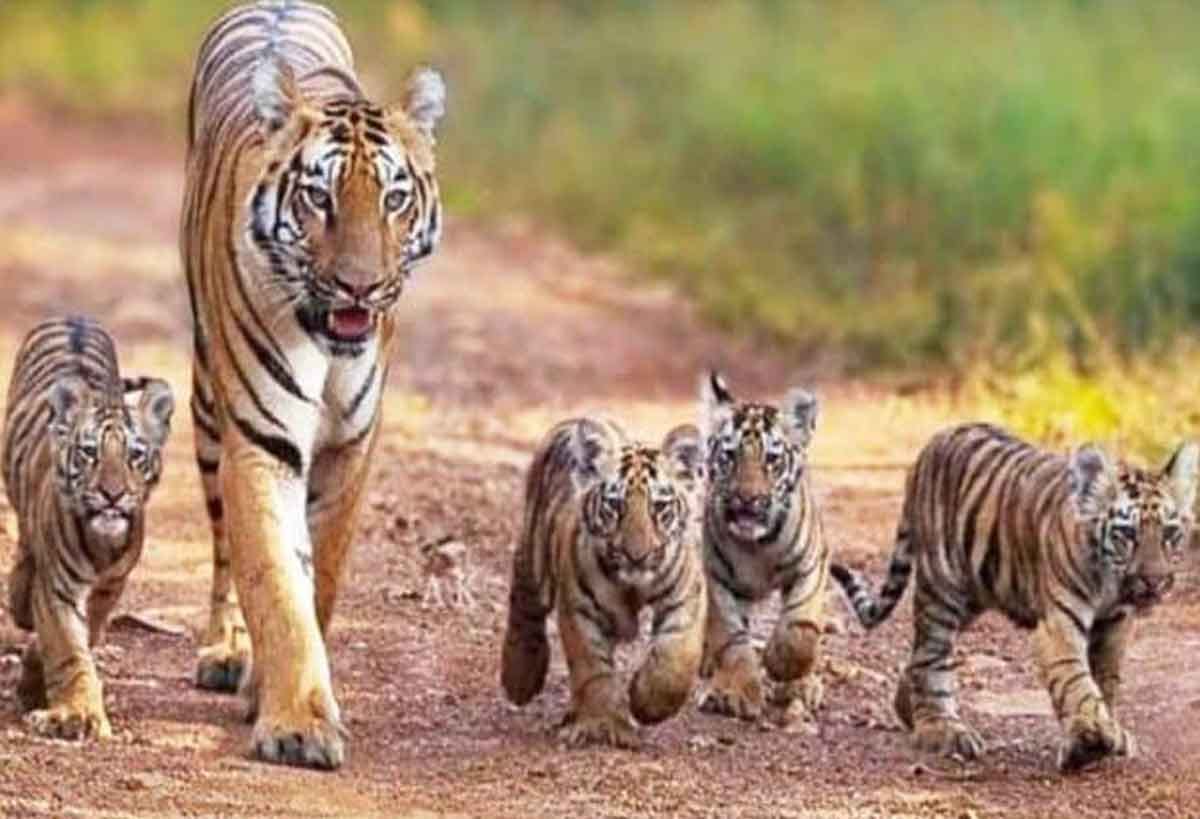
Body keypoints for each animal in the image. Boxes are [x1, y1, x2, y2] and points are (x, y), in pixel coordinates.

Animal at [3, 316, 174, 740]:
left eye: (135, 455)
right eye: (89, 452)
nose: (112, 495)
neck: (102, 544)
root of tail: (74, 316)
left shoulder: (111, 586)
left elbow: (82, 635)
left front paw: (36, 686)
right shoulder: (58, 586)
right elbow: (66, 646)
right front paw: (75, 716)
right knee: (24, 552)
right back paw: (19, 595)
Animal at [181, 0, 445, 768]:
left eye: (393, 198)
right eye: (319, 197)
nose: (359, 284)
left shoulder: (350, 449)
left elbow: (318, 576)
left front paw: (277, 694)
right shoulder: (258, 443)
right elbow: (273, 578)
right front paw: (296, 723)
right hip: (207, 408)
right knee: (223, 550)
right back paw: (224, 650)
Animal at [501, 418, 708, 749]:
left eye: (660, 507)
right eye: (615, 505)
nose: (637, 555)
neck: (632, 585)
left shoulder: (685, 595)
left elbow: (677, 659)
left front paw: (647, 704)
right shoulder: (580, 607)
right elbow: (592, 667)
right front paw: (603, 724)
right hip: (534, 553)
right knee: (524, 601)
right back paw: (520, 677)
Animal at [697, 372, 829, 724]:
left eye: (771, 459)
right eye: (730, 456)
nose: (747, 498)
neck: (756, 546)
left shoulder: (811, 567)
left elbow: (800, 631)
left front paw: (778, 662)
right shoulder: (718, 579)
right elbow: (732, 639)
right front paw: (738, 693)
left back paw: (802, 686)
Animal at [831, 422, 1199, 772]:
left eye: (1170, 533)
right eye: (1127, 533)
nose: (1154, 581)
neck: (1110, 584)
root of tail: (931, 444)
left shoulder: (1115, 624)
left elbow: (1105, 679)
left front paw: (1106, 733)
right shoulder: (1058, 624)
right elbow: (1076, 679)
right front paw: (1091, 738)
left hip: (974, 595)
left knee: (917, 657)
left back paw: (907, 706)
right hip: (942, 590)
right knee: (931, 656)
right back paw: (941, 728)